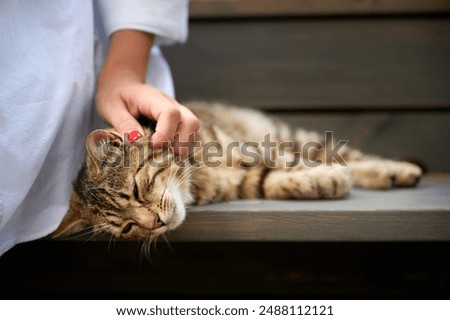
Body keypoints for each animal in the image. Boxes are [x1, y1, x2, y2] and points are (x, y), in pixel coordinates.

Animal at [53, 102, 422, 242]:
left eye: (137, 191)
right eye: (128, 228)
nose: (155, 223)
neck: (197, 177)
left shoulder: (250, 150)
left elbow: (287, 164)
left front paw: (326, 177)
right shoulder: (243, 182)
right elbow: (269, 183)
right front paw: (320, 182)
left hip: (296, 138)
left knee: (345, 154)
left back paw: (399, 169)